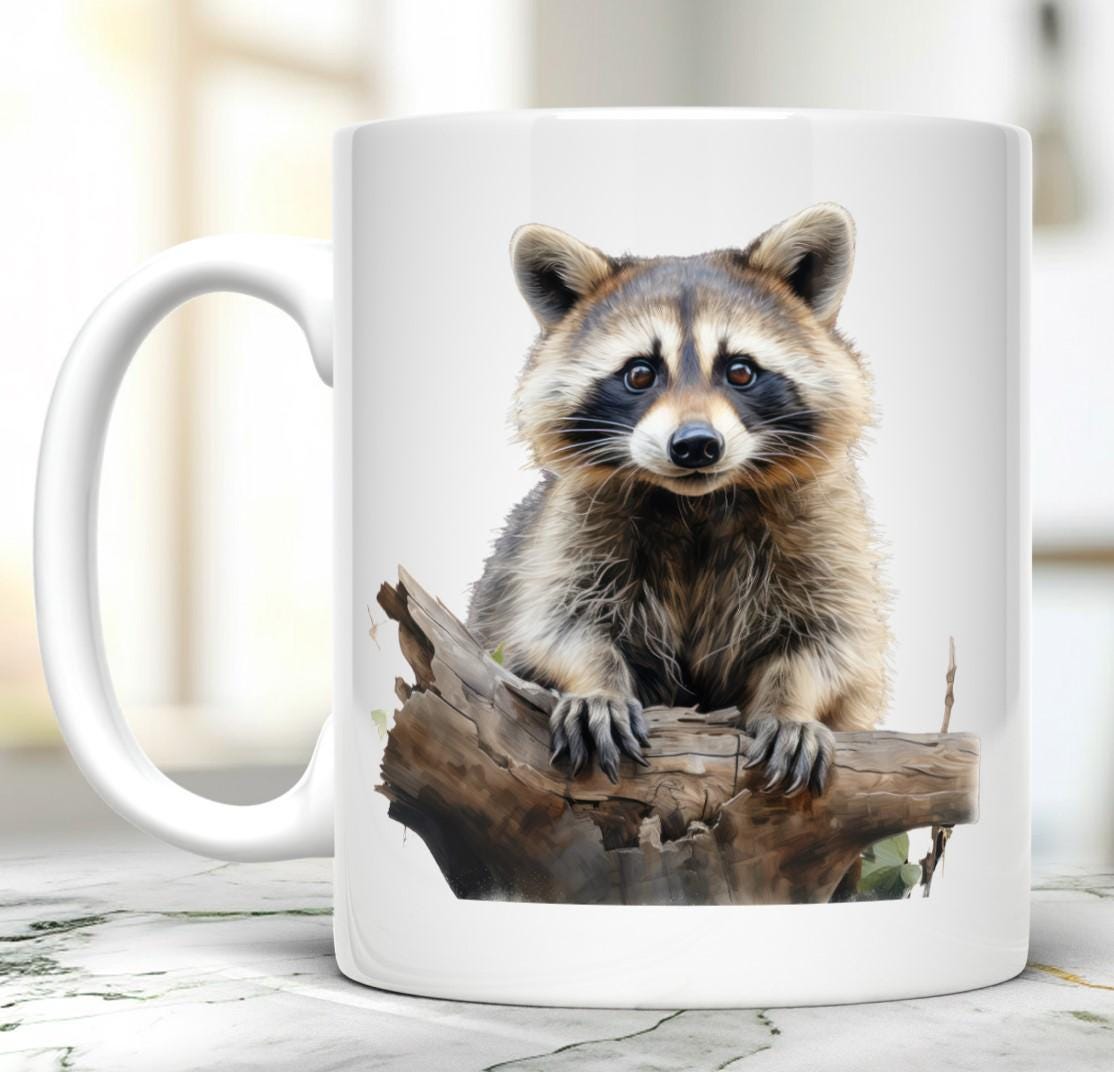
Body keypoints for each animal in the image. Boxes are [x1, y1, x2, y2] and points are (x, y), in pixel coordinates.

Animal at [468, 204, 889, 793]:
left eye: (740, 371)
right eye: (640, 373)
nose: (695, 445)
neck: (697, 502)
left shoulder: (825, 524)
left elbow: (832, 641)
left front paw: (792, 706)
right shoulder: (570, 525)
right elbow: (556, 624)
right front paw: (596, 683)